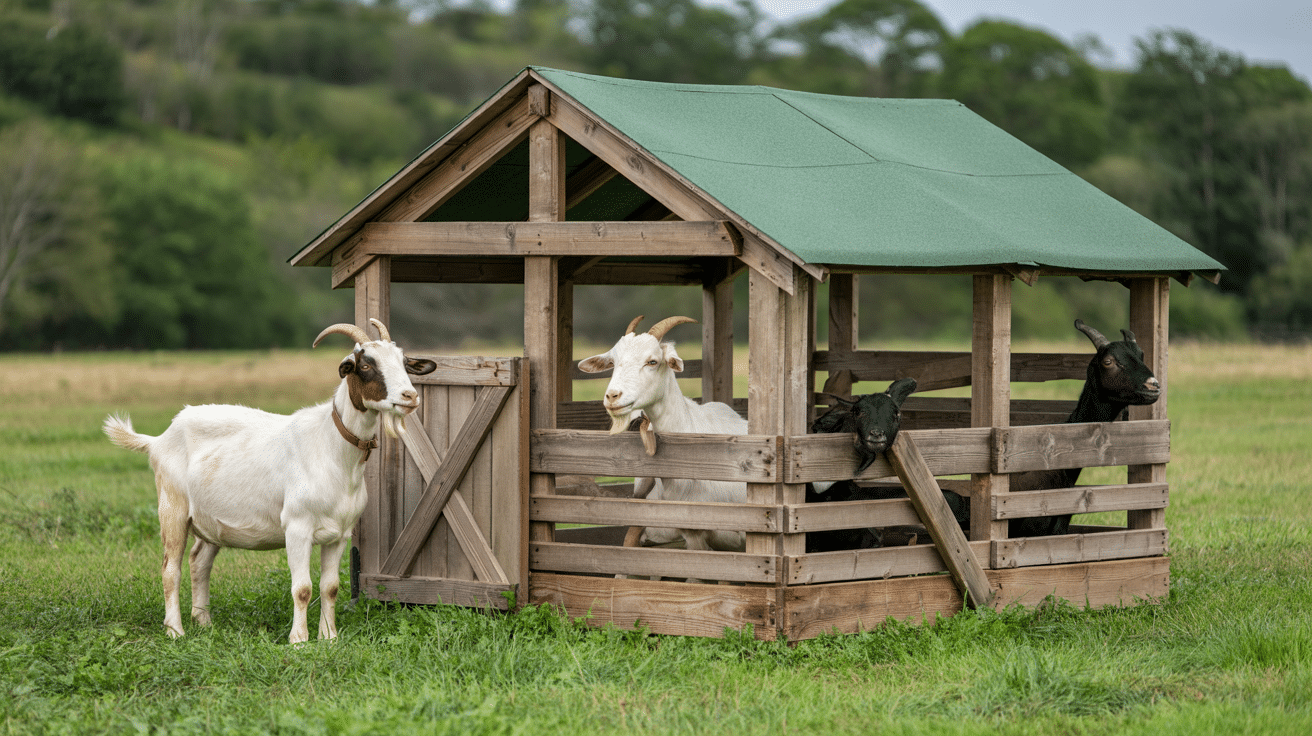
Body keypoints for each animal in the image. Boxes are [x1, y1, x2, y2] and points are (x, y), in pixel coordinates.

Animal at [103, 320, 436, 643]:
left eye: (404, 362)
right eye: (365, 365)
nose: (410, 397)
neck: (330, 447)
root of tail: (157, 439)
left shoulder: (340, 534)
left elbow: (330, 587)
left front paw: (329, 637)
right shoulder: (297, 527)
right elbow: (302, 589)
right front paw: (299, 639)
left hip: (209, 519)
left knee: (199, 562)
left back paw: (204, 622)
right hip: (172, 506)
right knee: (170, 569)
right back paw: (175, 630)